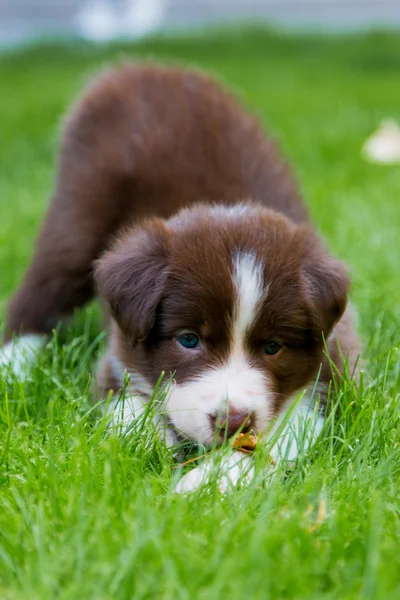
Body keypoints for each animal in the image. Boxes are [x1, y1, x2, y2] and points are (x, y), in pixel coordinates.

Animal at [0, 63, 360, 492]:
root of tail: (139, 69)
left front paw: (205, 485)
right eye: (188, 340)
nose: (232, 420)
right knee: (39, 294)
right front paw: (151, 447)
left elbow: (279, 436)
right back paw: (13, 364)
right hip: (76, 219)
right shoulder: (118, 357)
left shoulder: (331, 372)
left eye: (274, 347)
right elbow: (126, 407)